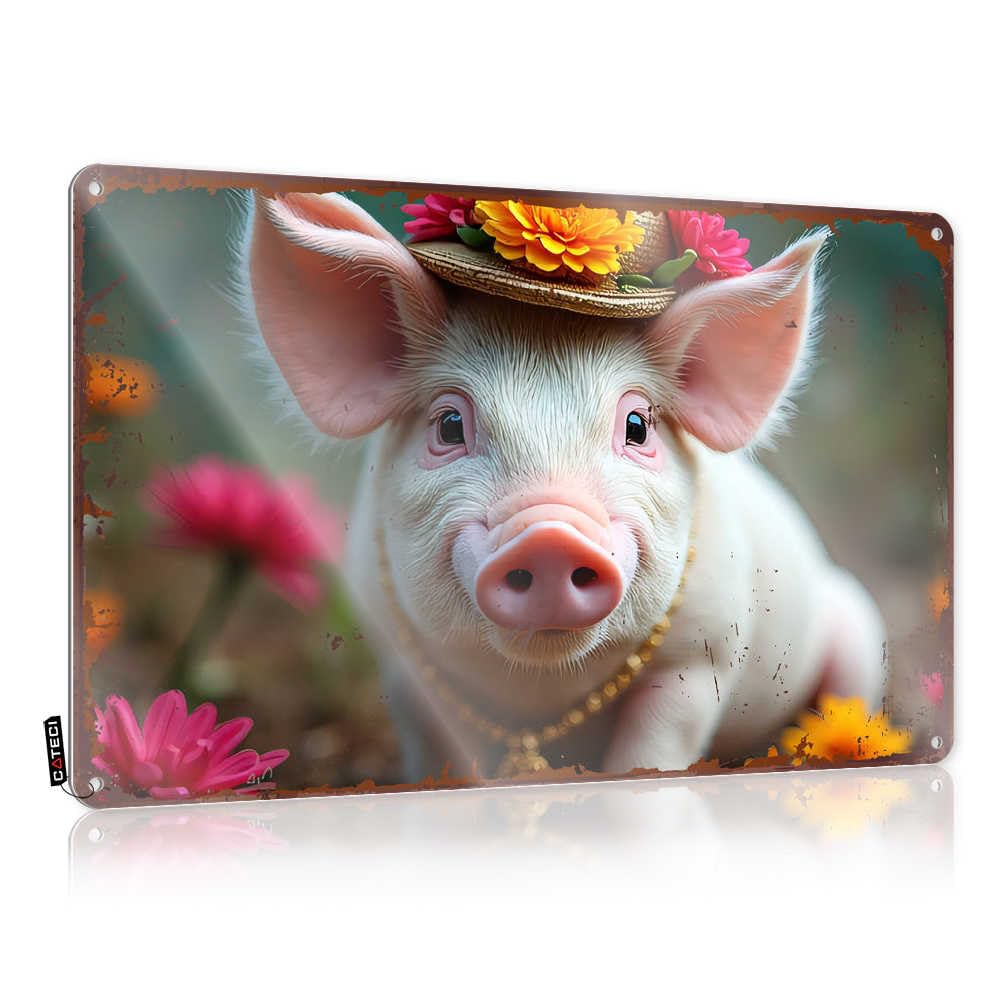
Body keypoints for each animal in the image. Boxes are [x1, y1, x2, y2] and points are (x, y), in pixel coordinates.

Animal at [244, 191, 887, 780]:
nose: (550, 534)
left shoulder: (702, 658)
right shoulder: (403, 665)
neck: (539, 692)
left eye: (637, 425)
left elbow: (654, 749)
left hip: (856, 631)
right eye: (449, 424)